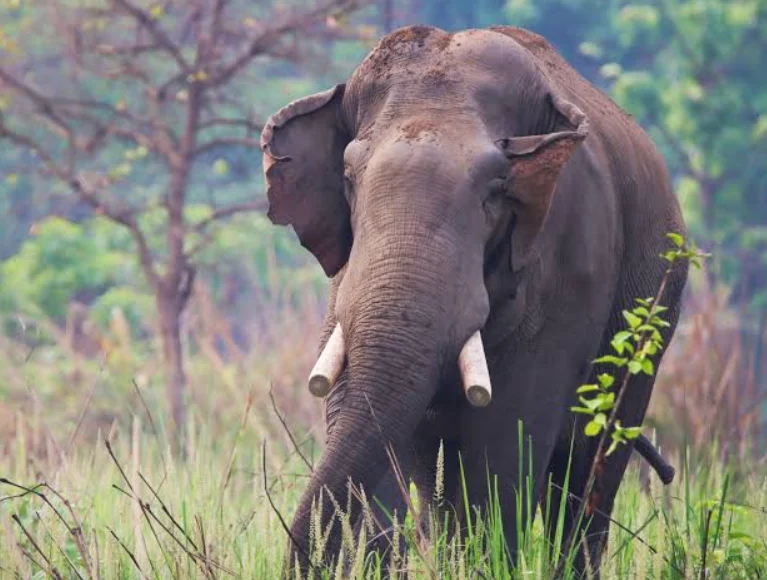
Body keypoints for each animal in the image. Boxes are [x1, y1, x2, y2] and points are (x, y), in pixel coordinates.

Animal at [261, 25, 688, 577]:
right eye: (349, 179)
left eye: (495, 190)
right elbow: (368, 414)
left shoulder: (572, 257)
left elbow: (507, 434)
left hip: (651, 319)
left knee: (589, 472)